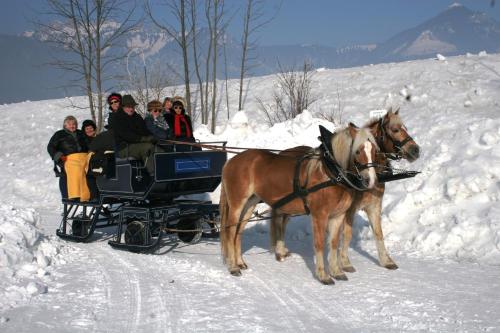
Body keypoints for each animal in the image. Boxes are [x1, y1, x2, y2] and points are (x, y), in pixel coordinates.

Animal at [221, 122, 376, 282]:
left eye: (374, 150)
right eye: (357, 151)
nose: (369, 180)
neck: (331, 173)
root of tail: (231, 162)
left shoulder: (338, 216)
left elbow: (333, 243)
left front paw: (336, 272)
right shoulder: (319, 215)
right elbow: (319, 243)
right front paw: (323, 275)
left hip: (250, 204)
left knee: (238, 232)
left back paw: (240, 262)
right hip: (237, 204)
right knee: (230, 231)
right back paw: (233, 267)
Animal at [272, 108, 420, 272]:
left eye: (405, 128)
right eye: (395, 129)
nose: (416, 150)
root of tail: (282, 153)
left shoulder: (374, 206)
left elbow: (378, 233)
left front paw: (386, 261)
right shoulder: (349, 209)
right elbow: (347, 235)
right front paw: (345, 262)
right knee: (280, 221)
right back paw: (280, 250)